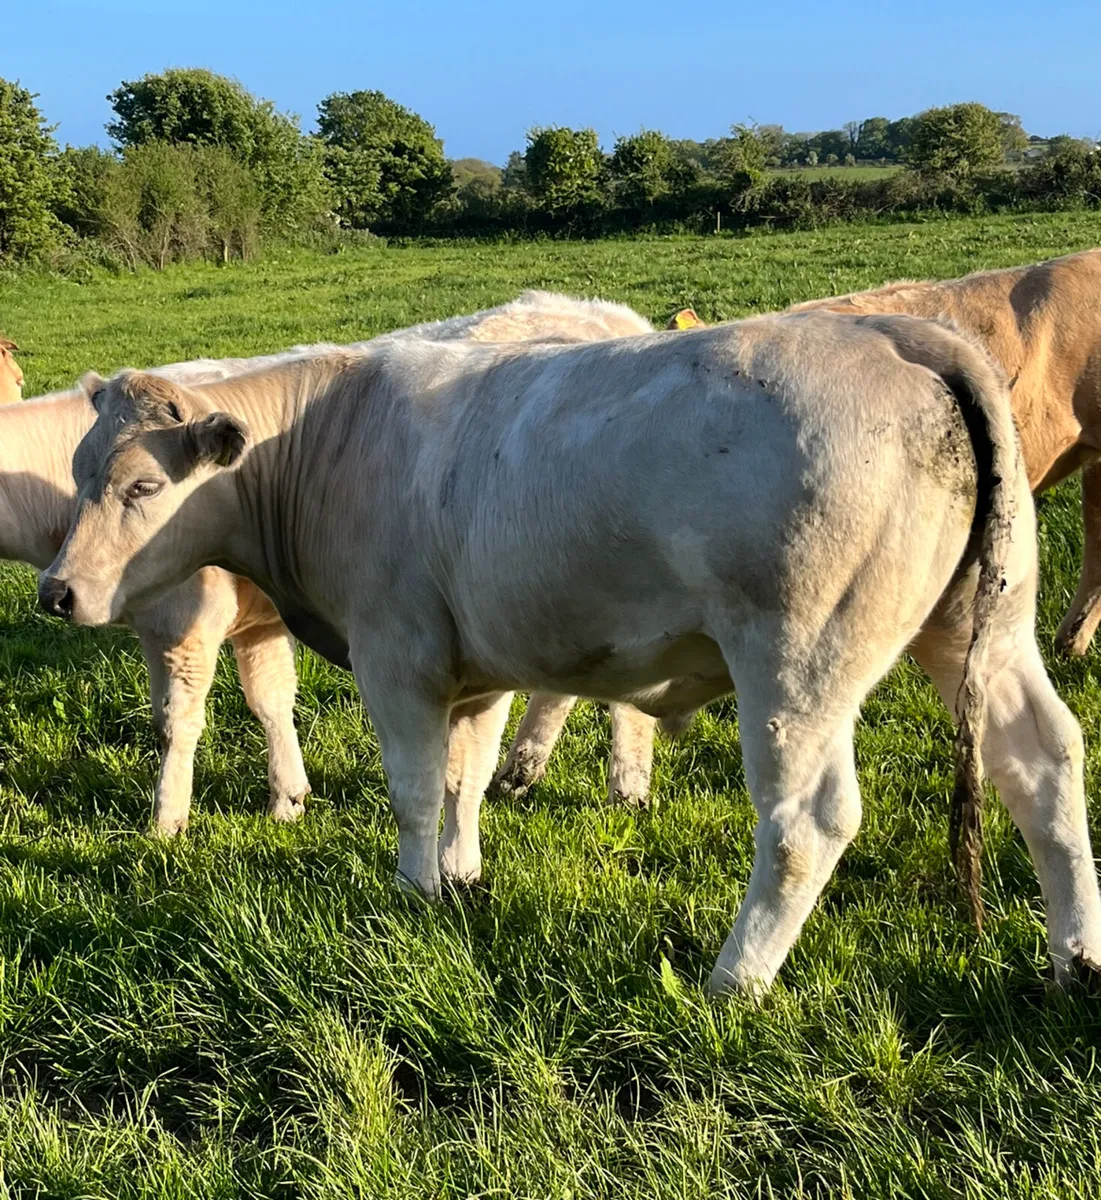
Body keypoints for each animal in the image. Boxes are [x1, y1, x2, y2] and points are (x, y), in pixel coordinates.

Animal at [39, 309, 1101, 995]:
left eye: (140, 487)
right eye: (81, 473)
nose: (56, 592)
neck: (328, 439)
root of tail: (897, 334)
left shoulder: (397, 653)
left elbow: (415, 788)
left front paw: (414, 890)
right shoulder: (470, 665)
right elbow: (465, 776)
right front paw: (462, 877)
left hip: (797, 659)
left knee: (808, 820)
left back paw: (734, 979)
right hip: (980, 624)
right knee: (1041, 757)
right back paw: (1072, 958)